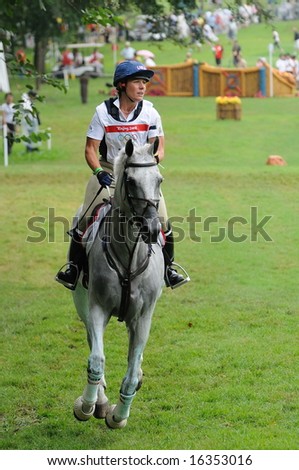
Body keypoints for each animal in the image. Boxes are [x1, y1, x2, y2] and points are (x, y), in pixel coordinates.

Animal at [72, 138, 164, 428]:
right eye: (131, 181)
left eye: (159, 179)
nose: (152, 229)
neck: (129, 256)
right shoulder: (97, 308)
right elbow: (97, 359)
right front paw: (89, 406)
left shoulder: (143, 317)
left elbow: (132, 372)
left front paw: (119, 416)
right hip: (82, 302)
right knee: (92, 345)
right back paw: (98, 401)